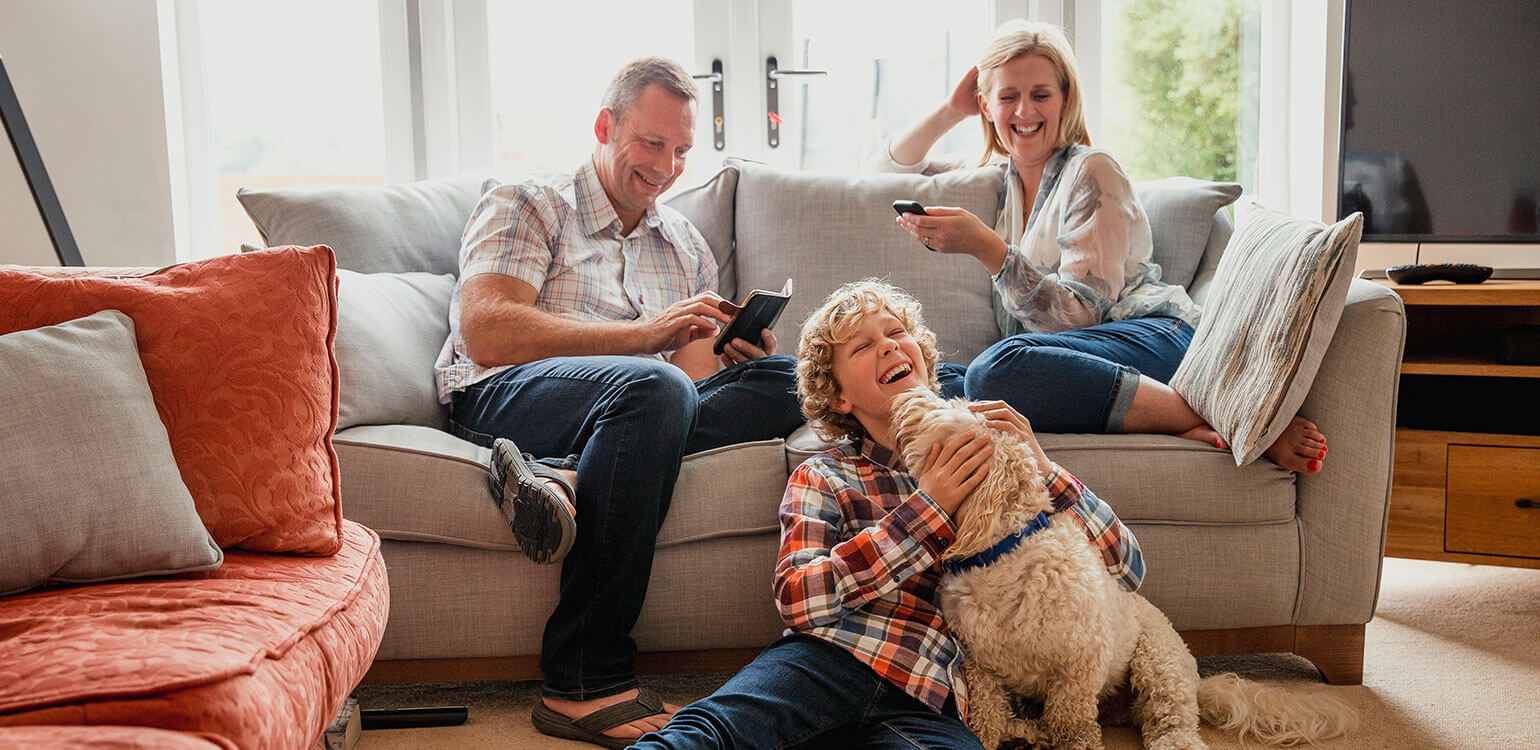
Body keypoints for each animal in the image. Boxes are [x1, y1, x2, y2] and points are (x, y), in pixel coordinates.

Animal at [887, 388, 1355, 750]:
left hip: (1157, 661)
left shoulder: (1080, 664)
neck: (1004, 551)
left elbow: (1071, 719)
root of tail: (1196, 678)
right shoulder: (980, 664)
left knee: (1172, 722)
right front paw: (993, 736)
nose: (906, 398)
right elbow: (987, 713)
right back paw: (1025, 734)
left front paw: (1074, 742)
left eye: (953, 410)